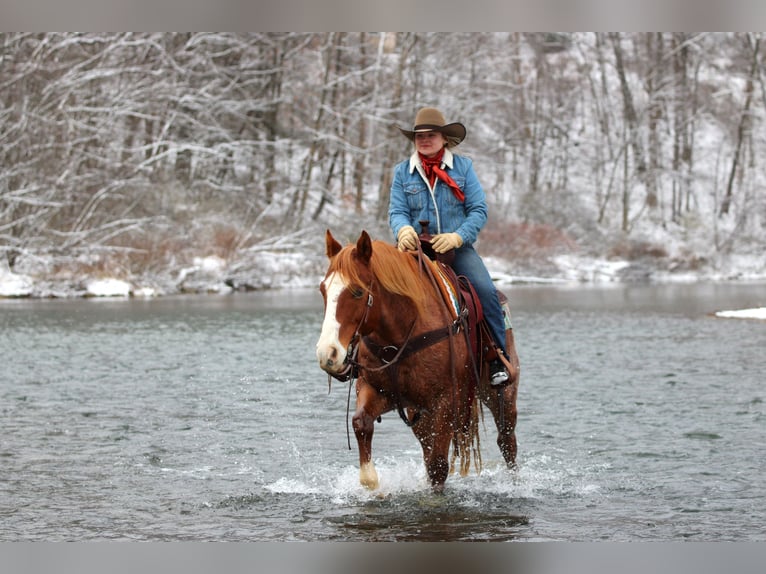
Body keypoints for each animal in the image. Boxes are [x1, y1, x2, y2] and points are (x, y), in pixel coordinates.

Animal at [316, 229, 519, 492]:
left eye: (358, 291)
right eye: (323, 290)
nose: (327, 353)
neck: (401, 334)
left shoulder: (445, 402)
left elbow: (438, 465)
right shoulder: (376, 390)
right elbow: (361, 424)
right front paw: (372, 482)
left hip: (501, 395)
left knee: (506, 440)